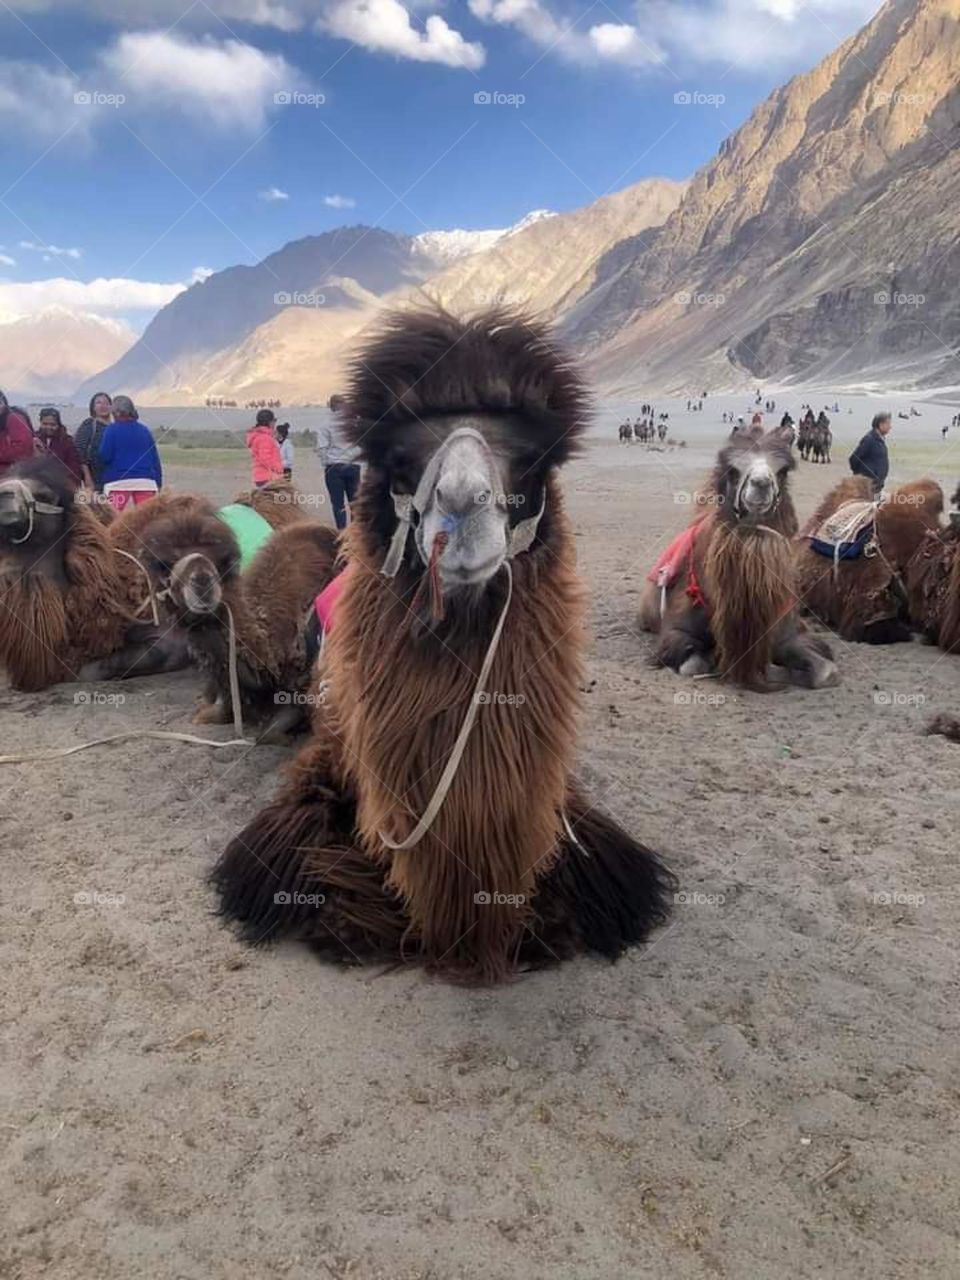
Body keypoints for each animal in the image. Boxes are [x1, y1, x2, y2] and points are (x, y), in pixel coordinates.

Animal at [639, 425, 837, 689]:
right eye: (733, 470)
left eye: (783, 470)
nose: (761, 483)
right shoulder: (676, 631)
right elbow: (694, 665)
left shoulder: (788, 633)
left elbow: (826, 672)